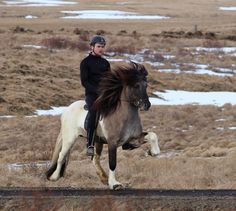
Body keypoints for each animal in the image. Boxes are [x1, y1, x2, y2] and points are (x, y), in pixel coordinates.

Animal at [46, 61, 160, 190]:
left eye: (146, 85)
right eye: (136, 85)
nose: (146, 105)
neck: (123, 116)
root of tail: (67, 110)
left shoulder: (131, 141)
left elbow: (152, 135)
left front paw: (153, 152)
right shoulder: (112, 142)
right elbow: (112, 162)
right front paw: (115, 184)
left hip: (97, 141)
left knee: (95, 159)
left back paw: (104, 178)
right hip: (69, 139)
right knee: (61, 156)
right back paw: (54, 177)